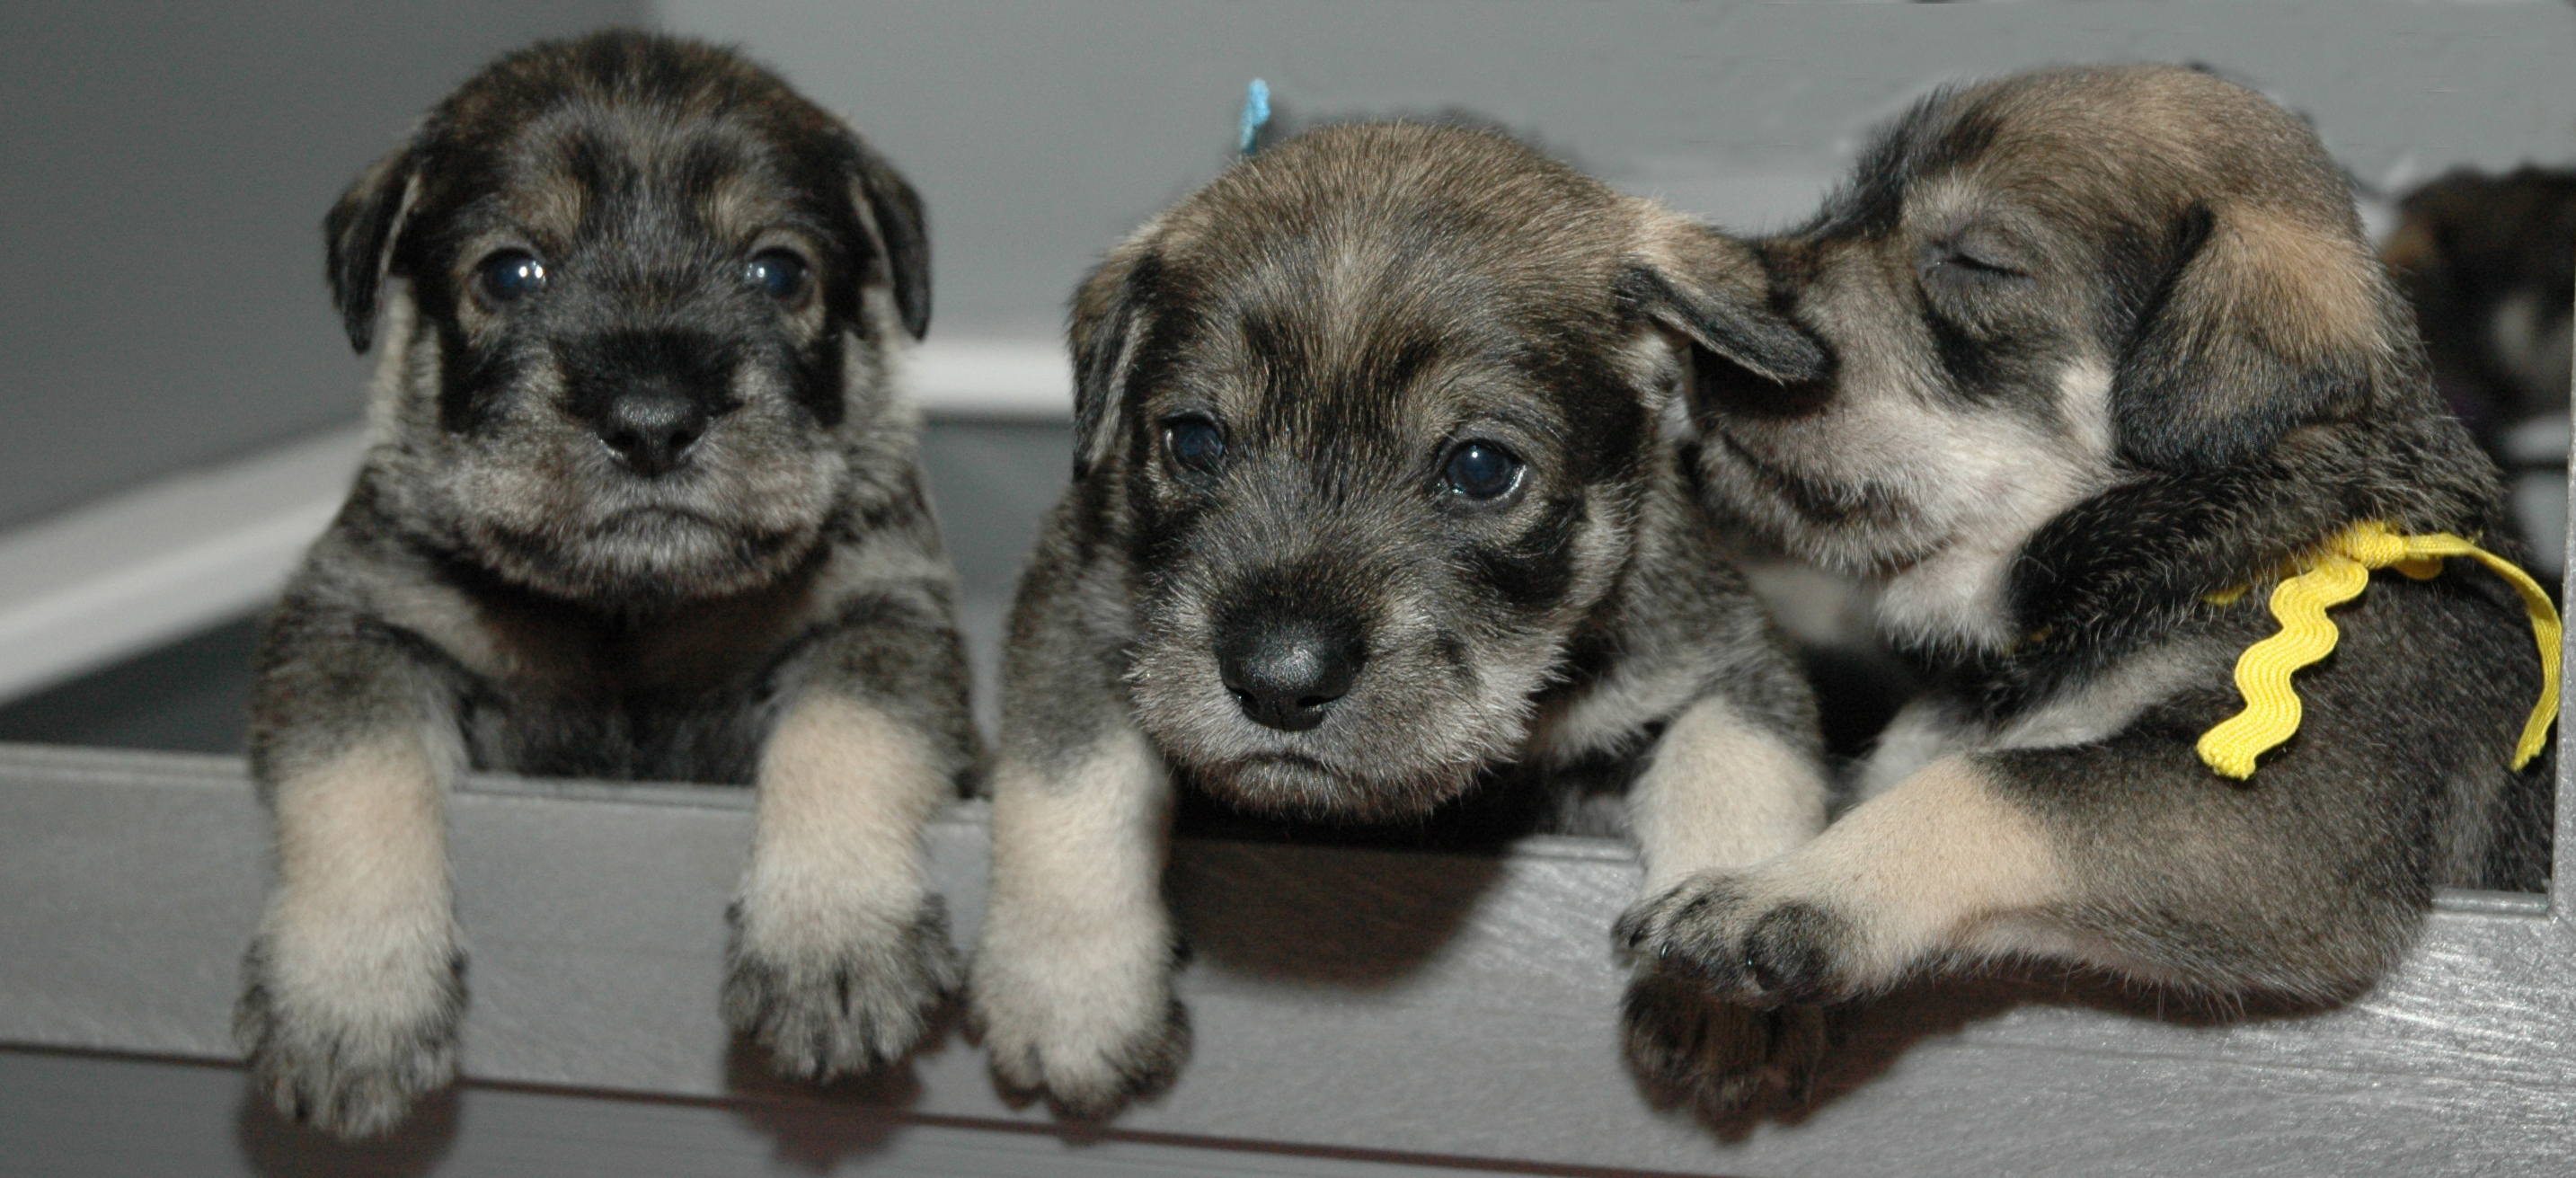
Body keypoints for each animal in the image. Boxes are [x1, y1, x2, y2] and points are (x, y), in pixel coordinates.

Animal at [234, 32, 976, 1138]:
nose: (653, 421)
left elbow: (847, 737)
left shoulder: (876, 615)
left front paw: (832, 938)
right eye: (509, 273)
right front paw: (350, 1000)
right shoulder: (355, 630)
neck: (625, 610)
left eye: (777, 271)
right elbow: (353, 783)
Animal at [965, 122, 1835, 1117]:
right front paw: (1067, 992)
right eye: (1193, 441)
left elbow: (1734, 766)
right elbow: (1068, 781)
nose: (1278, 680)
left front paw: (1720, 977)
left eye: (1481, 468)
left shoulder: (1728, 661)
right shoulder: (1078, 605)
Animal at [1618, 63, 2557, 1103]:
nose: (1700, 350)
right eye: (1844, 207)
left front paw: (1777, 898)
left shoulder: (2285, 813)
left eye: (1978, 262)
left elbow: (1996, 784)